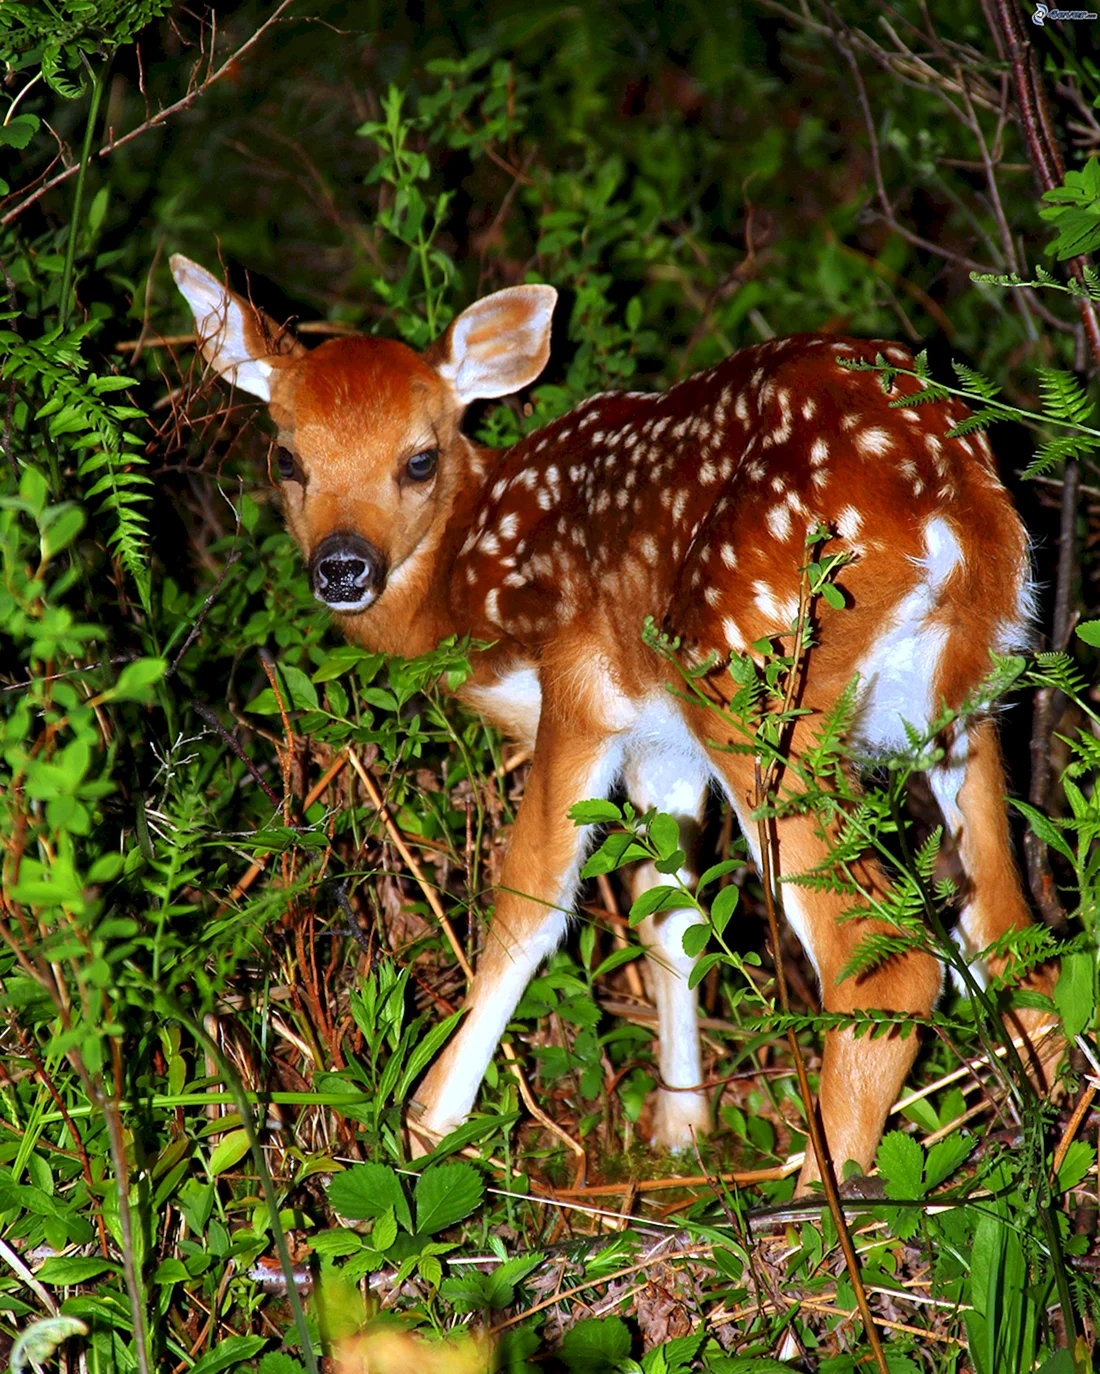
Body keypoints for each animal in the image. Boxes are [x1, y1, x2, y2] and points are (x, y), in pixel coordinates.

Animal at [172, 254, 1061, 1190]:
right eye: (286, 456)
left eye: (419, 460)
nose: (343, 566)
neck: (470, 586)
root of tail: (952, 497)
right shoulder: (661, 748)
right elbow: (668, 916)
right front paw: (681, 1126)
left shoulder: (582, 690)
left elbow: (530, 905)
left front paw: (425, 1132)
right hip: (969, 692)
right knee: (1010, 931)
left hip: (753, 683)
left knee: (888, 964)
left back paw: (824, 1194)